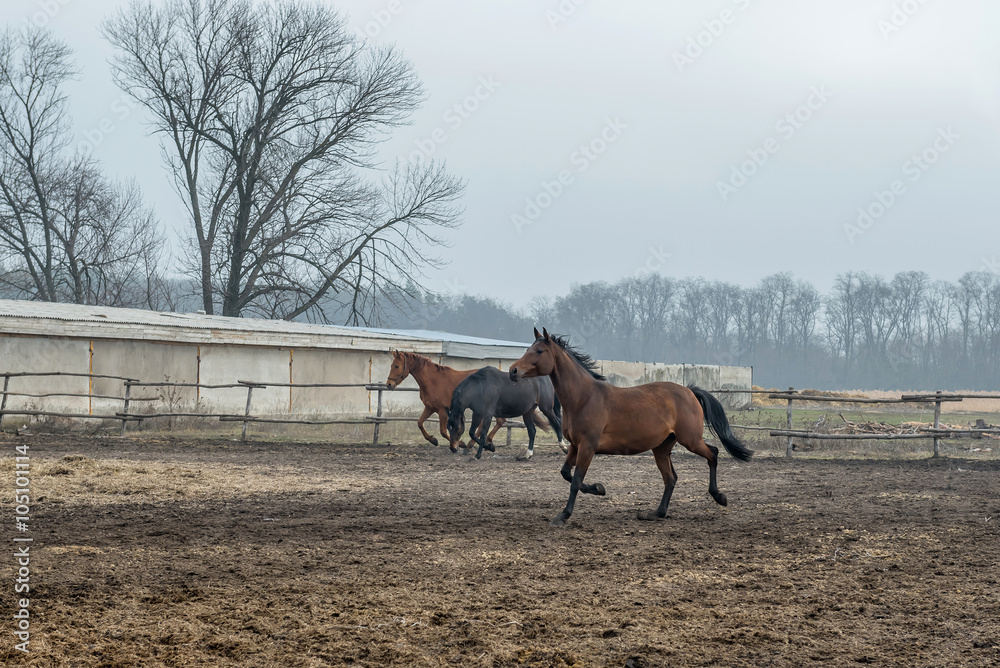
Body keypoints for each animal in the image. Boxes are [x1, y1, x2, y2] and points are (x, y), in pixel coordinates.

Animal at [509, 328, 752, 526]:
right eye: (530, 349)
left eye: (539, 351)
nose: (513, 371)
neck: (584, 397)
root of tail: (690, 391)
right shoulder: (575, 446)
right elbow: (566, 474)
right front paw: (598, 488)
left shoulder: (587, 447)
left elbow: (575, 481)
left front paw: (563, 515)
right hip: (662, 448)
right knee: (671, 478)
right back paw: (656, 513)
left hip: (690, 440)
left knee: (713, 454)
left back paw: (719, 497)